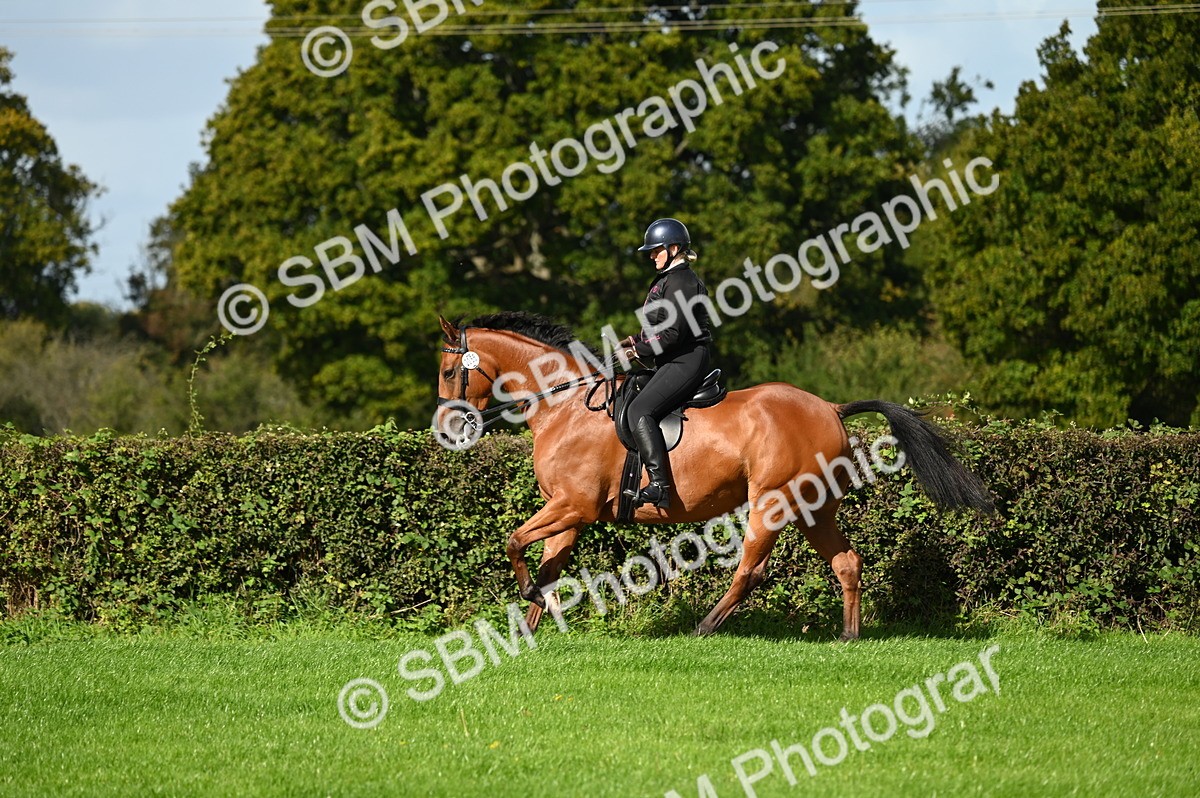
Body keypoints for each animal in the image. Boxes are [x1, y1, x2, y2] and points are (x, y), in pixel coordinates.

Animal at [434, 311, 994, 640]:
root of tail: (831, 408)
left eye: (447, 371)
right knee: (847, 562)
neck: (565, 405)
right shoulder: (566, 511)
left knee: (750, 570)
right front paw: (530, 629)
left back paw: (704, 626)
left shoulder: (574, 505)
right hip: (812, 508)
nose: (447, 430)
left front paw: (531, 602)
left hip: (772, 501)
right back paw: (849, 636)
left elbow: (513, 541)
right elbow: (548, 564)